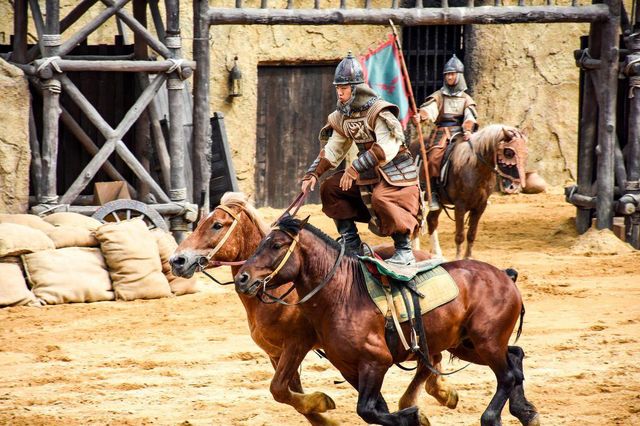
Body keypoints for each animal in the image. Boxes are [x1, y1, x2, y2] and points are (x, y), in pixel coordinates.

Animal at [170, 194, 458, 426]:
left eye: (217, 225)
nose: (177, 260)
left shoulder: (297, 344)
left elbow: (278, 389)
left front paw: (321, 404)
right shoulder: (276, 353)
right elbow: (286, 393)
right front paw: (322, 415)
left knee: (430, 361)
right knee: (433, 360)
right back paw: (444, 393)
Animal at [235, 216, 540, 426]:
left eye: (276, 244)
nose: (242, 278)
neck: (344, 294)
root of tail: (505, 275)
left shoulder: (375, 361)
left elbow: (368, 410)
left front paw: (414, 416)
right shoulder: (349, 368)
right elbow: (376, 409)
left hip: (485, 341)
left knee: (507, 375)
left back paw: (493, 417)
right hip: (465, 344)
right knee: (515, 357)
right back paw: (526, 412)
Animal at [418, 123, 528, 260]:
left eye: (525, 153)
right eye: (508, 153)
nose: (514, 186)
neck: (475, 167)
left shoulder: (480, 206)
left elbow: (471, 234)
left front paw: (468, 258)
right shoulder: (460, 205)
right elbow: (460, 235)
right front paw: (458, 258)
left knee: (431, 220)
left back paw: (437, 254)